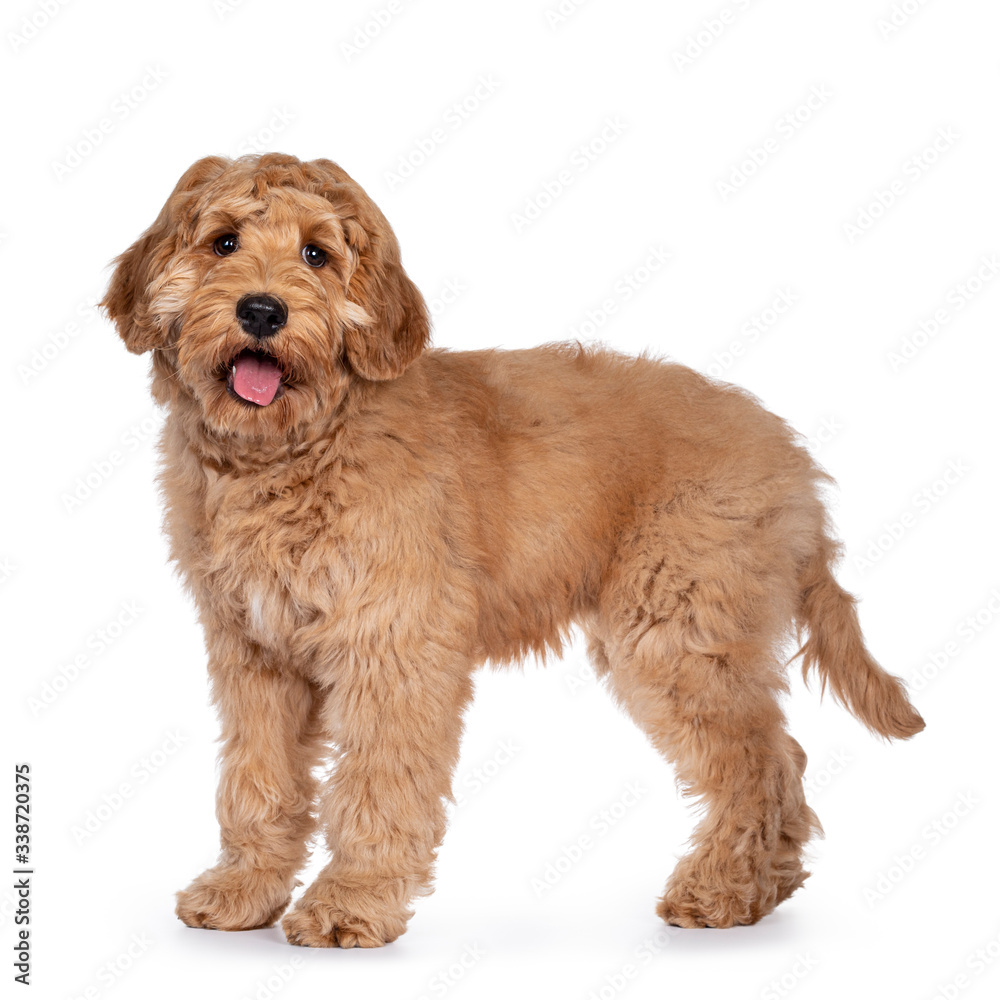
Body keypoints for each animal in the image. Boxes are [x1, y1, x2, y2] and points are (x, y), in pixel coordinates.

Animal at [101, 148, 920, 944]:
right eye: (224, 242)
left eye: (316, 254)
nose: (262, 310)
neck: (299, 450)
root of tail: (791, 454)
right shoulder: (255, 653)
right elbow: (257, 781)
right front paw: (245, 891)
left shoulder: (393, 646)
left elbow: (375, 784)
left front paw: (350, 903)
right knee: (780, 762)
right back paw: (760, 889)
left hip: (680, 639)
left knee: (765, 762)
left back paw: (722, 892)